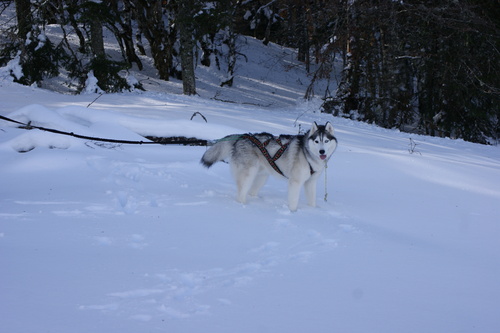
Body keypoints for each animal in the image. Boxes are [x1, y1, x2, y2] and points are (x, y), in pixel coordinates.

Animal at [201, 121, 338, 210]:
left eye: (326, 141)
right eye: (317, 141)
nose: (322, 152)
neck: (307, 153)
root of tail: (242, 137)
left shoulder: (311, 182)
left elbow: (312, 201)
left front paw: (313, 211)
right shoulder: (295, 182)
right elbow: (293, 201)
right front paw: (293, 213)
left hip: (262, 176)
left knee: (251, 191)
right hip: (248, 174)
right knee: (241, 194)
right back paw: (243, 206)